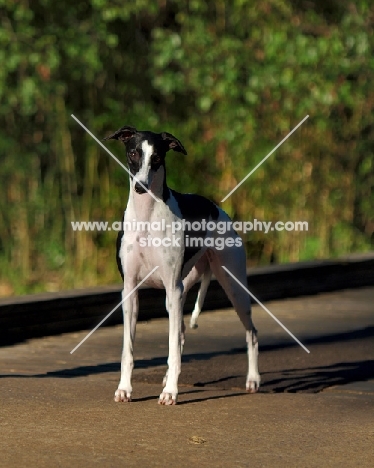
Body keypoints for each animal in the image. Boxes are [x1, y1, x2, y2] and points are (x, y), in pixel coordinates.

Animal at [102, 126, 260, 404]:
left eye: (157, 157)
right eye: (133, 153)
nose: (141, 186)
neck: (146, 217)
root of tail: (216, 208)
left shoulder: (172, 289)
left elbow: (172, 348)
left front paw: (170, 393)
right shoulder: (130, 290)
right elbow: (128, 350)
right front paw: (124, 389)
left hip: (232, 286)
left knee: (251, 333)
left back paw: (252, 380)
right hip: (181, 290)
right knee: (183, 332)